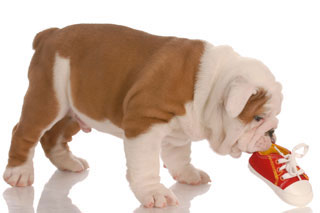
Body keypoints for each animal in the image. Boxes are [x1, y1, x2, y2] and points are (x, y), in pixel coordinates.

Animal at [3, 24, 282, 208]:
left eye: (272, 119)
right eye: (258, 118)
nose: (272, 132)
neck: (210, 85)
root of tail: (51, 33)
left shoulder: (179, 131)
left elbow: (179, 155)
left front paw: (188, 175)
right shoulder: (143, 123)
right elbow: (146, 164)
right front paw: (154, 193)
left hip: (74, 110)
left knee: (54, 138)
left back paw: (68, 163)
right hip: (48, 98)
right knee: (24, 132)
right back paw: (18, 173)